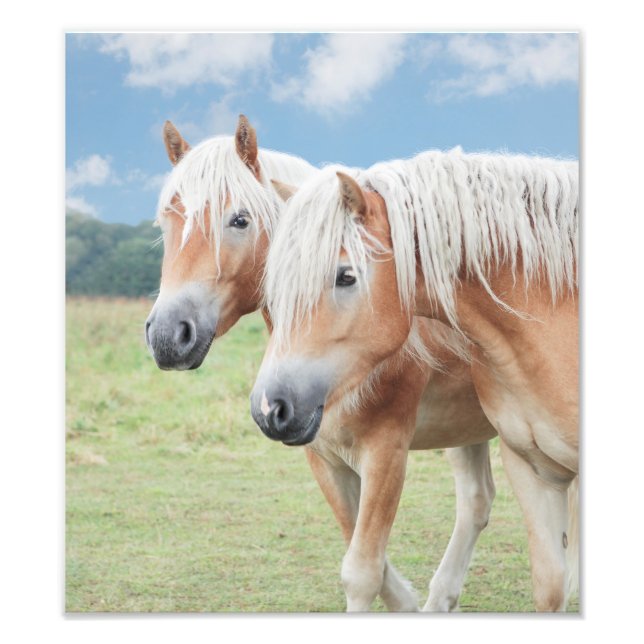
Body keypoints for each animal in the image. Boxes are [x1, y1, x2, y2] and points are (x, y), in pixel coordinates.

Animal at [145, 116, 498, 612]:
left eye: (240, 219)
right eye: (166, 220)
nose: (166, 335)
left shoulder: (387, 452)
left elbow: (364, 570)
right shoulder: (323, 455)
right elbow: (367, 558)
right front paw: (408, 605)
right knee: (476, 501)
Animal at [251, 150, 579, 612]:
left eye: (346, 276)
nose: (269, 407)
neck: (553, 310)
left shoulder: (386, 447)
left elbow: (362, 570)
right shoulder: (535, 471)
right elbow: (550, 587)